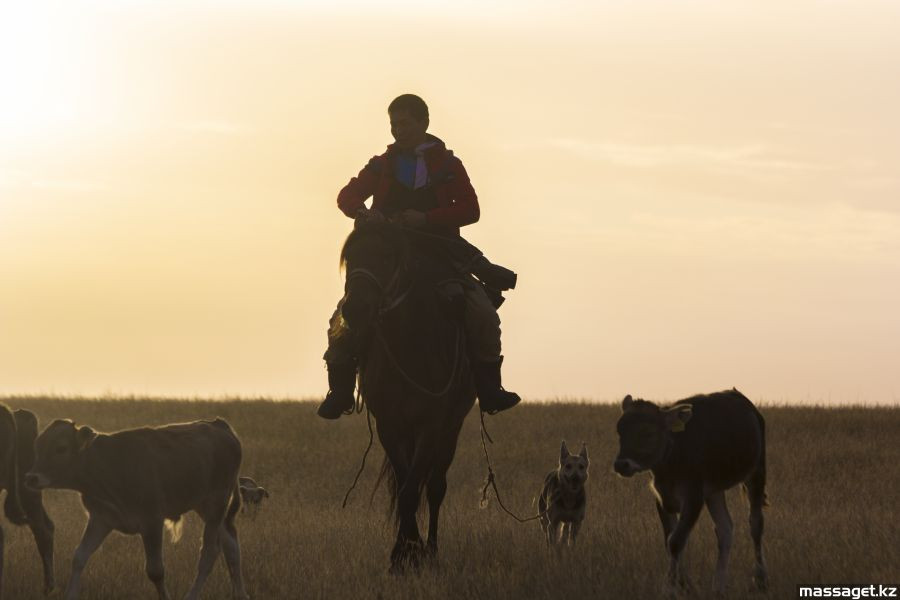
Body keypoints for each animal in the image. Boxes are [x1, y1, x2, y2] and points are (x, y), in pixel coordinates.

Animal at [26, 418, 248, 600]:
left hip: (217, 503)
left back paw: (192, 595)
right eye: (37, 447)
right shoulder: (101, 519)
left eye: (61, 448)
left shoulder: (152, 521)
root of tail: (218, 424)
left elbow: (156, 571)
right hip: (207, 507)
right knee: (231, 546)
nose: (32, 478)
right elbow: (79, 557)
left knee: (209, 553)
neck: (110, 465)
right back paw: (240, 594)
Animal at [340, 219, 478, 572]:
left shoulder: (431, 424)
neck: (409, 342)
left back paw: (433, 550)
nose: (355, 308)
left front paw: (411, 555)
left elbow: (413, 490)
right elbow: (404, 486)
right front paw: (401, 554)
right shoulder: (390, 425)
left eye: (387, 257)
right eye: (350, 257)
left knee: (436, 487)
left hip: (452, 426)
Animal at [616, 390, 768, 596]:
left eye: (648, 433)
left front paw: (671, 587)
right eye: (620, 431)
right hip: (714, 491)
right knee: (725, 528)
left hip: (756, 472)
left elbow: (676, 541)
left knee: (755, 524)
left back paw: (760, 580)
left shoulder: (694, 497)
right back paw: (718, 586)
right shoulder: (662, 498)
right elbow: (670, 540)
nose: (621, 464)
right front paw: (683, 583)